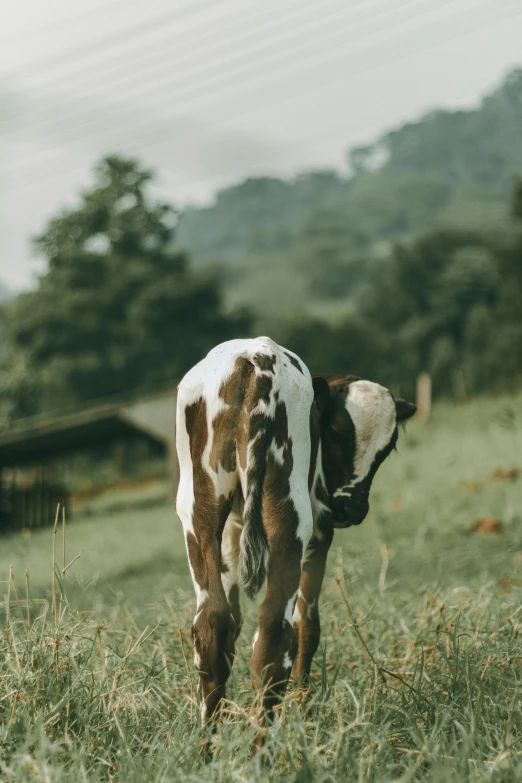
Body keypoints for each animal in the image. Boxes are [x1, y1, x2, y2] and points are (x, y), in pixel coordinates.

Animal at [175, 342, 414, 736]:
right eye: (335, 432)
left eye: (388, 447)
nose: (351, 508)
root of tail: (256, 360)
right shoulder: (320, 531)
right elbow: (308, 627)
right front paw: (303, 710)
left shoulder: (232, 531)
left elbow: (233, 622)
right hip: (292, 517)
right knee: (275, 631)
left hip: (199, 512)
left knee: (214, 625)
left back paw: (210, 743)